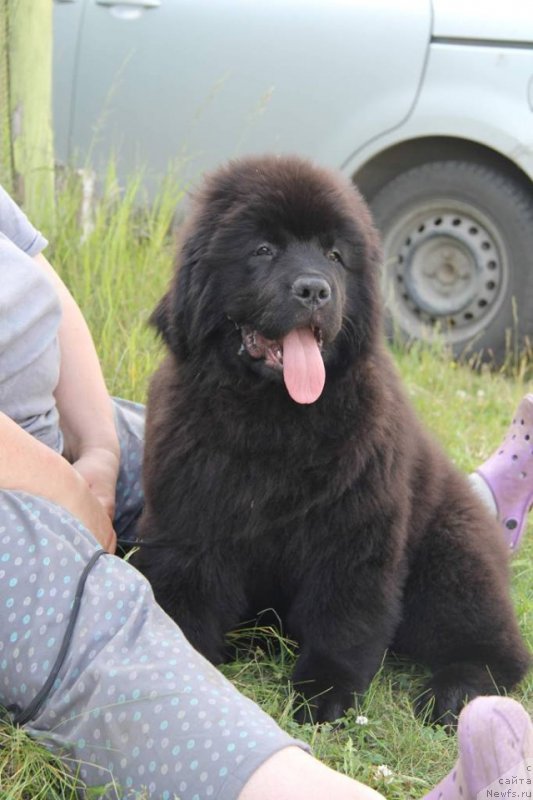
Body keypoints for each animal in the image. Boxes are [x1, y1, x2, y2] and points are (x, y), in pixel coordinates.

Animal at [136, 153, 528, 720]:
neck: (276, 419)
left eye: (335, 256)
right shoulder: (190, 520)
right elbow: (187, 597)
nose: (315, 289)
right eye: (263, 249)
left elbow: (344, 617)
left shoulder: (356, 531)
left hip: (452, 560)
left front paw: (325, 693)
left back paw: (454, 691)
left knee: (499, 651)